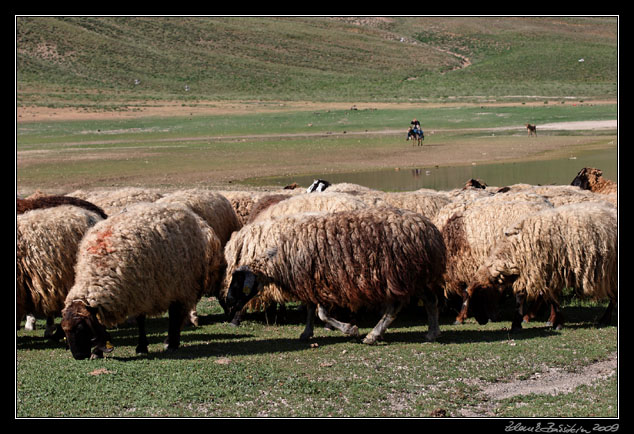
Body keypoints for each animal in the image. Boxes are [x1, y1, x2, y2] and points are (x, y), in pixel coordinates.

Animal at [59, 202, 222, 358]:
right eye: (65, 331)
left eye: (81, 328)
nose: (78, 356)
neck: (100, 267)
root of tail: (197, 219)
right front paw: (98, 352)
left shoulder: (141, 290)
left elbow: (140, 321)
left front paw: (141, 347)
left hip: (182, 284)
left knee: (176, 314)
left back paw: (172, 342)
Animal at [222, 207, 444, 346]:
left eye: (238, 282)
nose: (229, 300)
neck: (282, 257)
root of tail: (430, 231)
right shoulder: (311, 283)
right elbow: (311, 310)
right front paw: (306, 332)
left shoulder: (319, 282)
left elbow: (322, 314)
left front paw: (350, 329)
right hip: (415, 276)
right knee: (431, 301)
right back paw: (431, 333)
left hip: (399, 274)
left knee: (395, 307)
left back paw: (373, 335)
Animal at [462, 202, 616, 330]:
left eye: (480, 295)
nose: (481, 321)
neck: (516, 248)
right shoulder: (532, 273)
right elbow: (525, 297)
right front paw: (518, 323)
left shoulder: (543, 272)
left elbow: (550, 299)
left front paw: (557, 323)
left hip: (612, 271)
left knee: (614, 297)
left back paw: (605, 319)